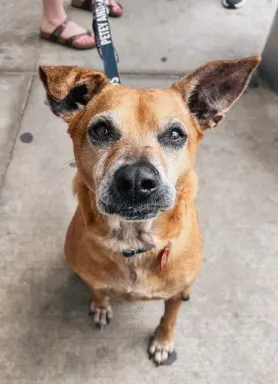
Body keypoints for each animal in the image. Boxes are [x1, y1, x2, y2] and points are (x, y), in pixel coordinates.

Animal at [39, 57, 260, 366]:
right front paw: (100, 305)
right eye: (101, 130)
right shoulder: (92, 277)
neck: (132, 241)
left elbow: (169, 318)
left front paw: (162, 342)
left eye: (175, 134)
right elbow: (97, 289)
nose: (135, 180)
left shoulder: (179, 294)